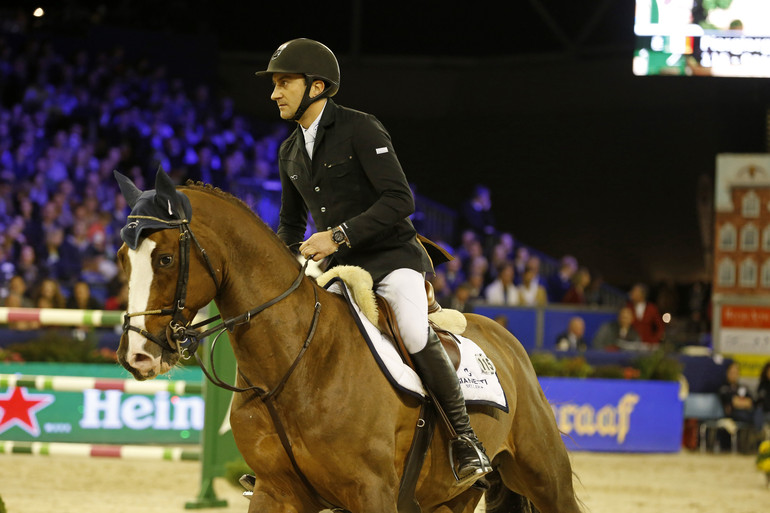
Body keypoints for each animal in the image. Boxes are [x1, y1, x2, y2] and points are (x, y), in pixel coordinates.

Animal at [117, 171, 580, 512]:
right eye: (123, 259)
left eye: (165, 259)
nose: (136, 355)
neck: (295, 364)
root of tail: (506, 339)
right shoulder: (276, 491)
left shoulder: (372, 492)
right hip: (452, 497)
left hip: (544, 475)